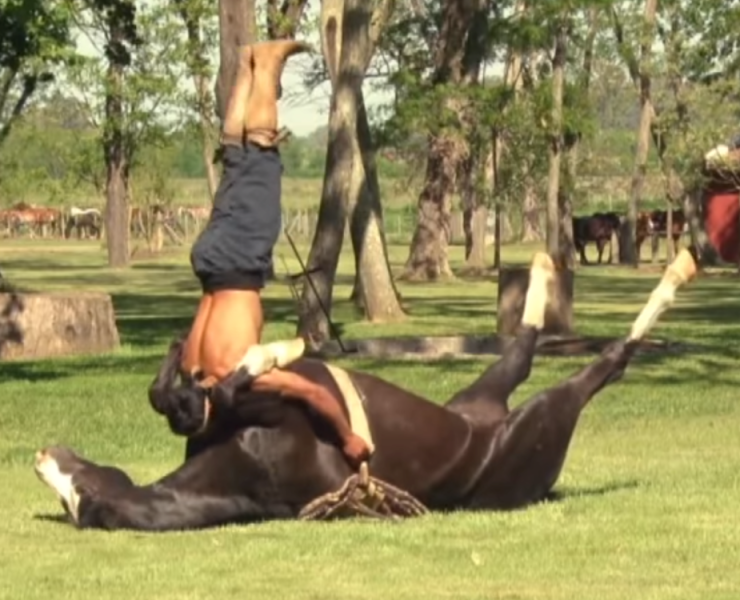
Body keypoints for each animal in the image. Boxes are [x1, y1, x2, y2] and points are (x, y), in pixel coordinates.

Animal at [33, 250, 698, 532]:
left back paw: (544, 271)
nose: (44, 457)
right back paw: (669, 275)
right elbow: (219, 391)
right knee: (598, 362)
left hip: (481, 395)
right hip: (543, 413)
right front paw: (266, 354)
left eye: (76, 482)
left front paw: (188, 366)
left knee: (524, 347)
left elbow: (177, 400)